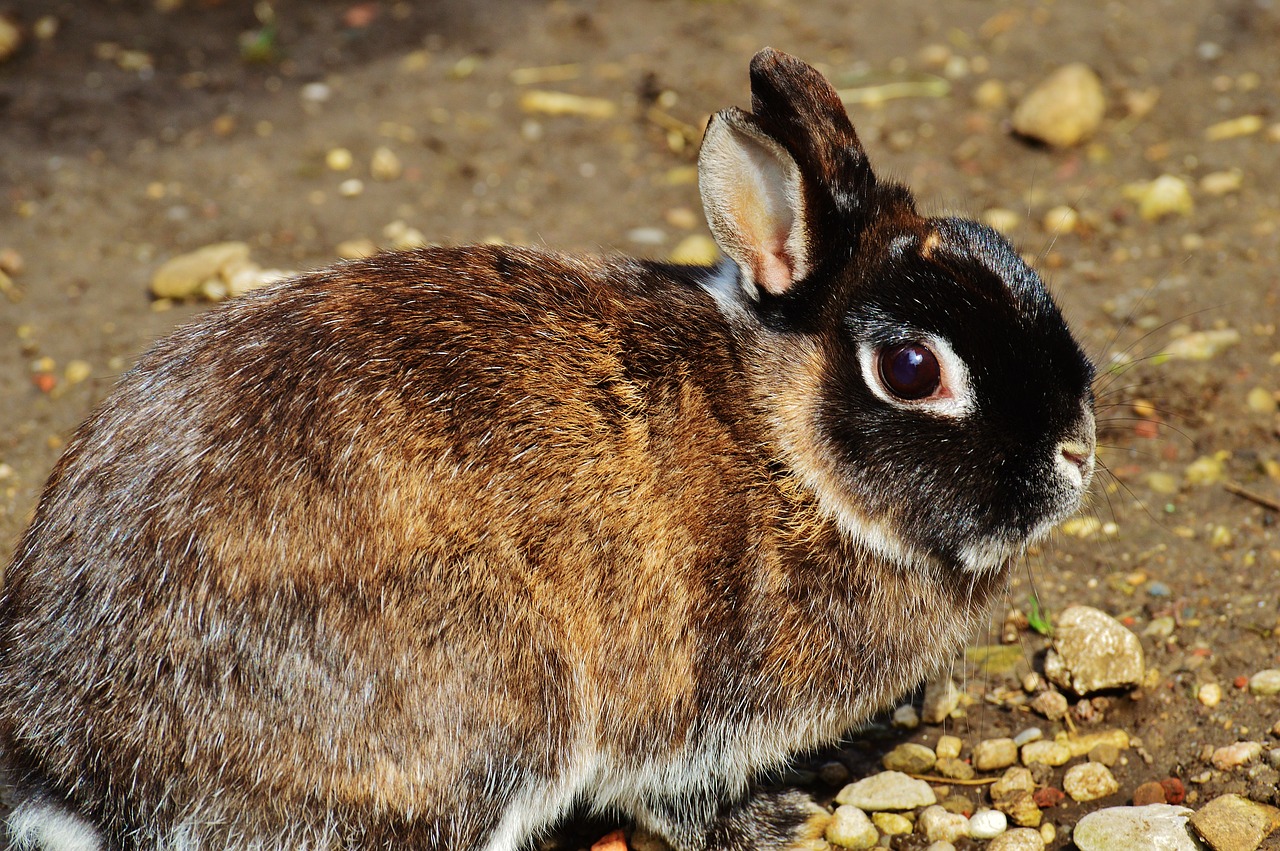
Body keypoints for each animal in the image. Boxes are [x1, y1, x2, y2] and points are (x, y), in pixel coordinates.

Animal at [2, 47, 1100, 849]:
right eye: (911, 369)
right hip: (483, 717)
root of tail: (63, 762)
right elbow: (679, 796)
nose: (1077, 452)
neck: (782, 448)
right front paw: (772, 820)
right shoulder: (687, 713)